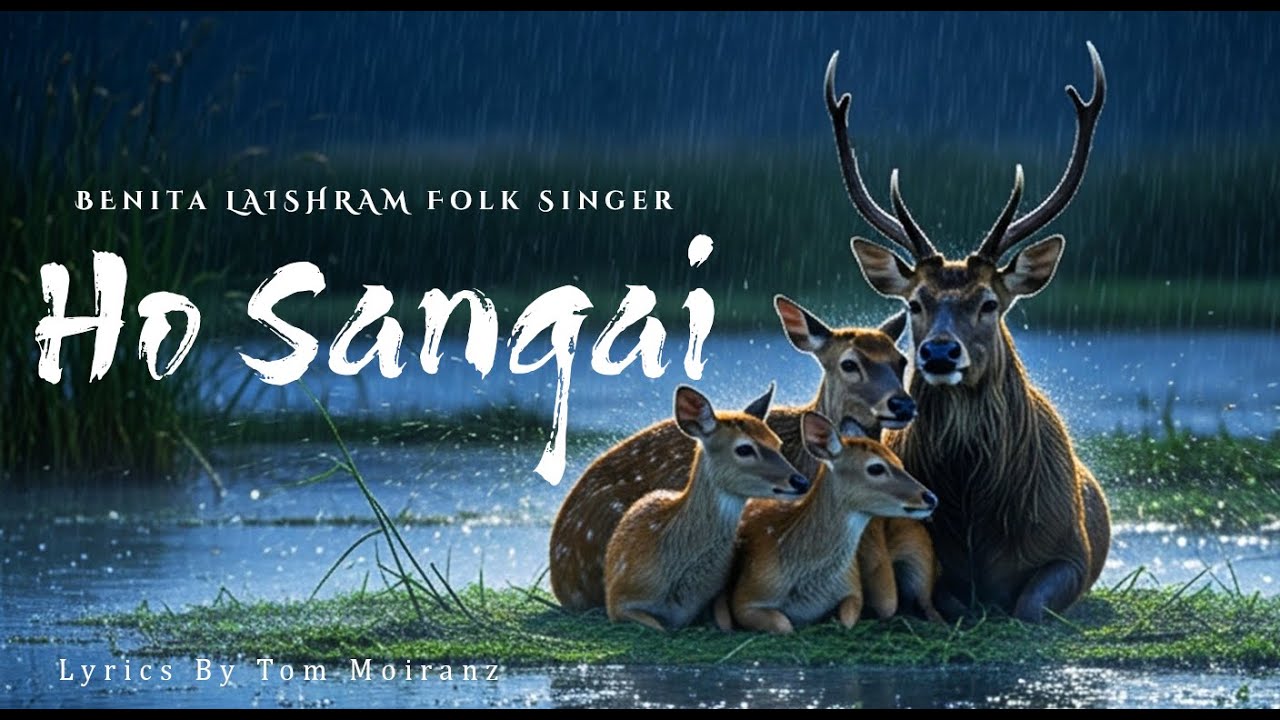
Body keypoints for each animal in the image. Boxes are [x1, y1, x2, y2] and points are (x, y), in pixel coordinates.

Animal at [723, 411, 938, 634]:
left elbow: (848, 619)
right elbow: (784, 624)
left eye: (900, 461)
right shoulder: (746, 597)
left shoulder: (853, 587)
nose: (930, 498)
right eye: (876, 468)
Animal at [823, 42, 1112, 622]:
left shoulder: (1071, 551)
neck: (978, 516)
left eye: (989, 303)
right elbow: (946, 600)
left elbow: (1030, 606)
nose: (939, 352)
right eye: (915, 302)